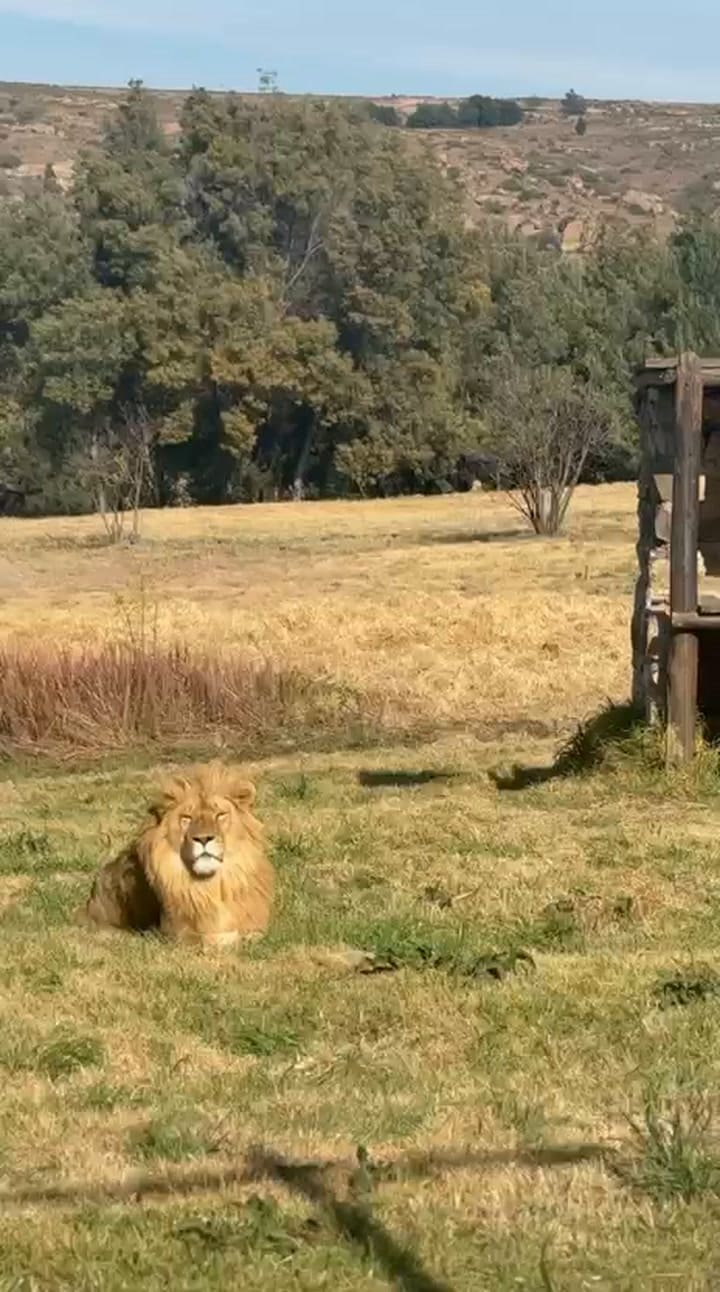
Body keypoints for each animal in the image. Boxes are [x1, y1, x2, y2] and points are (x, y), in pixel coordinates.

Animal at [80, 761, 275, 949]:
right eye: (186, 818)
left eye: (220, 815)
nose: (203, 838)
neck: (210, 885)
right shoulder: (173, 934)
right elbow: (210, 939)